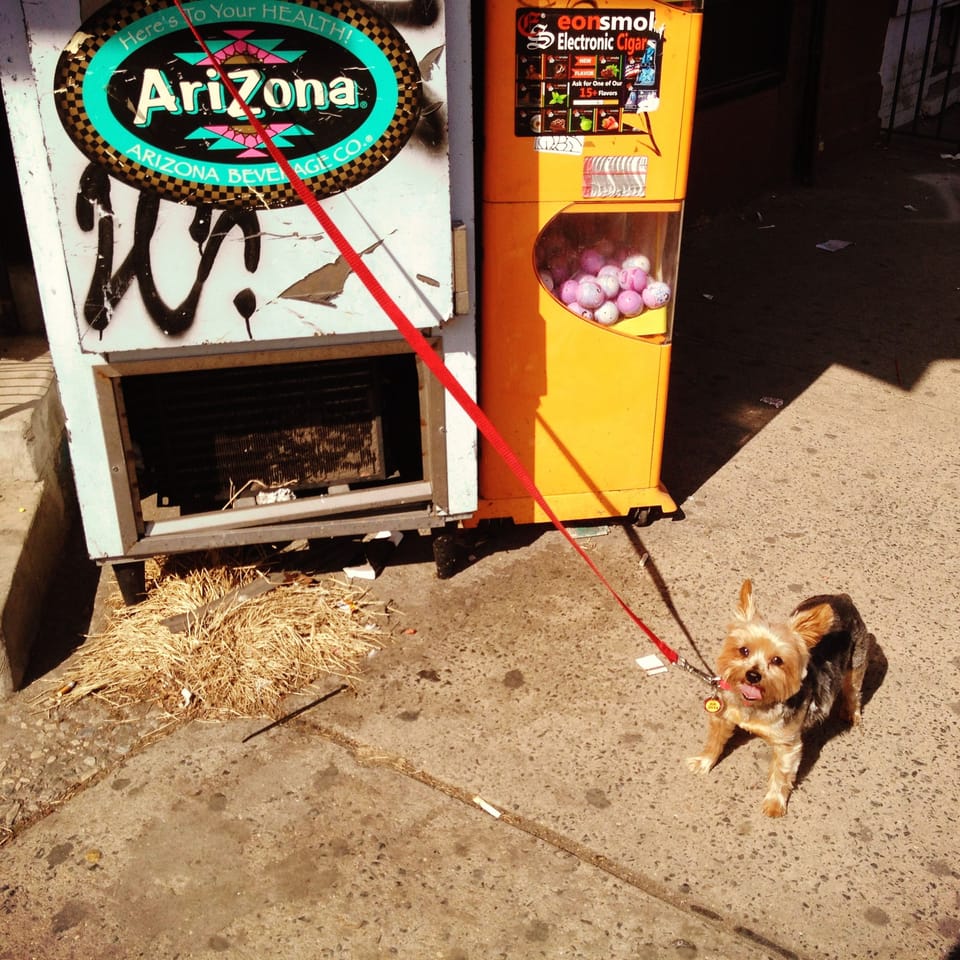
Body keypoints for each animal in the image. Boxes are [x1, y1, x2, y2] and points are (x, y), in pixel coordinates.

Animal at [688, 576, 872, 816]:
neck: (756, 706)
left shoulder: (788, 744)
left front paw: (775, 803)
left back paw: (852, 713)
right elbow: (714, 742)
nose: (753, 675)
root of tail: (843, 599)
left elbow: (782, 773)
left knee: (854, 691)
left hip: (856, 663)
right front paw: (703, 762)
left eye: (777, 660)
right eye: (744, 650)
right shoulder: (723, 716)